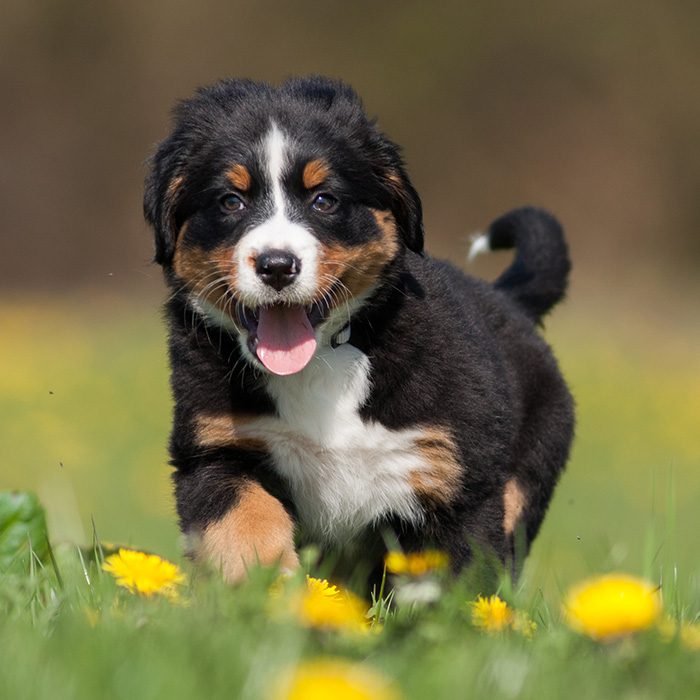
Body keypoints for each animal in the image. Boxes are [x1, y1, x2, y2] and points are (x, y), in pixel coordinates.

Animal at [142, 76, 576, 584]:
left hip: (527, 471)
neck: (321, 361)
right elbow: (243, 523)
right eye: (231, 201)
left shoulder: (454, 478)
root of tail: (508, 299)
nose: (277, 265)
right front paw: (269, 587)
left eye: (323, 200)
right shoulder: (214, 450)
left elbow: (455, 578)